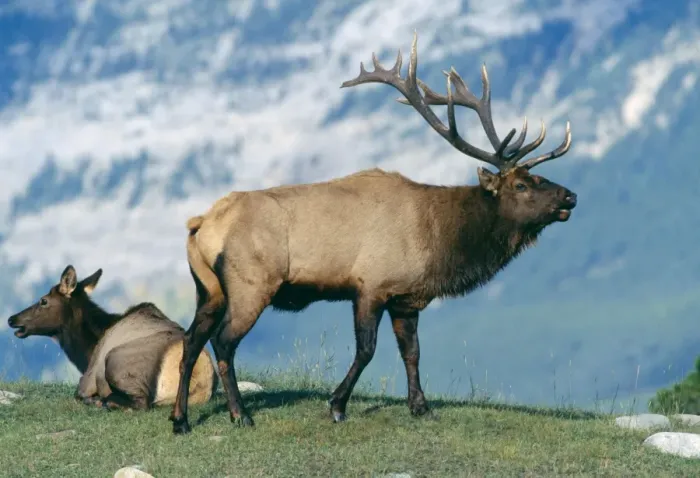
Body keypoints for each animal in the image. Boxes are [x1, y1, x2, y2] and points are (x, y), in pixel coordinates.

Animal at [7, 265, 218, 410]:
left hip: (116, 361)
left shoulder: (87, 378)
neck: (87, 350)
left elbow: (78, 393)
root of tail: (202, 383)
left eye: (43, 301)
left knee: (140, 403)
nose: (12, 319)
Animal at [168, 32, 577, 434]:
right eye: (522, 185)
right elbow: (367, 350)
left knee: (190, 340)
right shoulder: (370, 286)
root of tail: (201, 224)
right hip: (251, 284)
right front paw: (336, 405)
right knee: (223, 342)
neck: (438, 240)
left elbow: (412, 351)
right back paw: (240, 414)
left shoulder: (405, 298)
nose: (570, 195)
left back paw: (180, 419)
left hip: (209, 289)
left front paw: (421, 407)